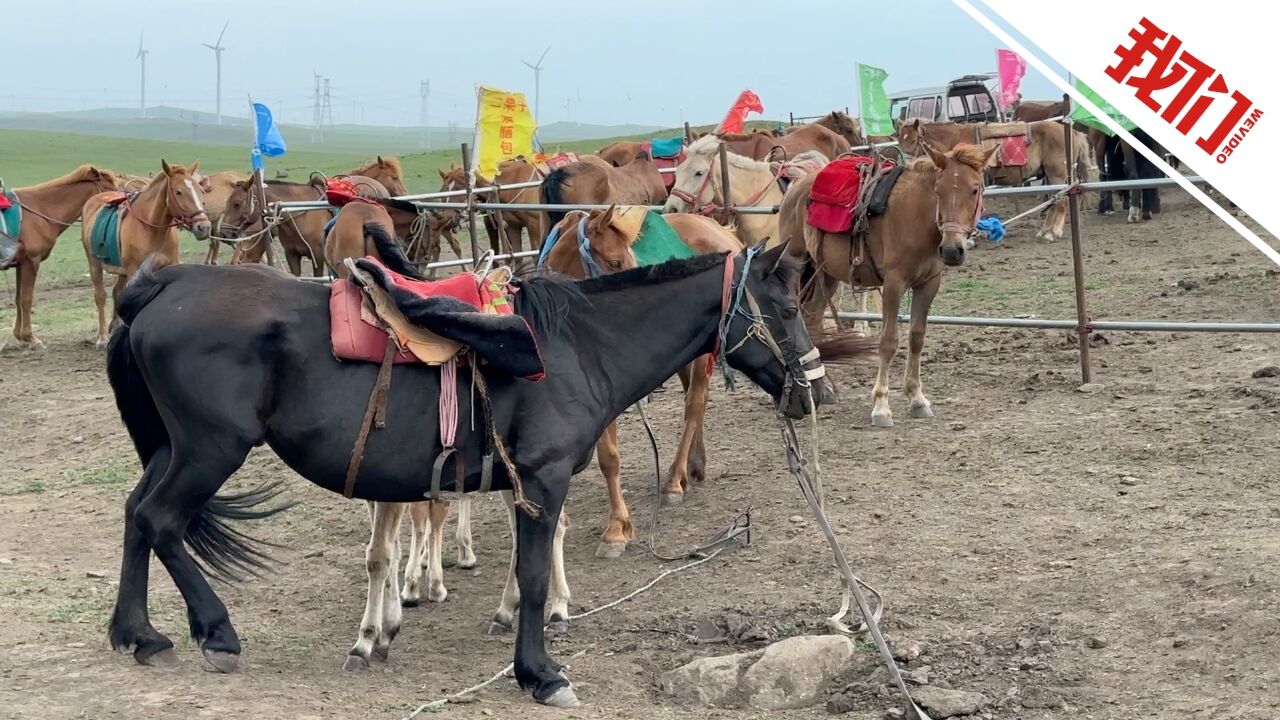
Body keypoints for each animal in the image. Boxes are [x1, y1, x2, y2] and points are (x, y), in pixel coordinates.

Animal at [2, 165, 120, 351]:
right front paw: (31, 338)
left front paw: (20, 336)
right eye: (111, 188)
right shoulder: (31, 262)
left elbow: (19, 299)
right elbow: (26, 299)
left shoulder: (21, 263)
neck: (39, 209)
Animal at [82, 157, 209, 348]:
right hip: (94, 264)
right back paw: (103, 337)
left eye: (200, 190)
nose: (204, 227)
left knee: (117, 292)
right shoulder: (134, 270)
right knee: (101, 296)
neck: (151, 229)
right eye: (178, 192)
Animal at [102, 243, 860, 702]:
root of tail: (163, 285)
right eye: (784, 308)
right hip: (209, 449)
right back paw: (215, 634)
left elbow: (525, 569)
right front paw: (541, 673)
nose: (815, 394)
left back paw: (140, 636)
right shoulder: (544, 479)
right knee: (160, 521)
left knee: (135, 517)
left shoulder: (527, 483)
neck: (577, 347)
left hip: (172, 448)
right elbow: (532, 574)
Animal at [778, 142, 998, 427]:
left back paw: (824, 390)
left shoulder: (929, 284)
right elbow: (889, 341)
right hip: (796, 268)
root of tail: (795, 190)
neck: (916, 218)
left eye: (975, 189)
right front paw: (881, 406)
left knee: (812, 319)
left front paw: (917, 398)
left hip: (824, 274)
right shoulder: (894, 283)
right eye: (939, 190)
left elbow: (917, 337)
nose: (952, 250)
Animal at [890, 118, 1090, 240]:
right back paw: (1045, 231)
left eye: (914, 141)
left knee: (1061, 202)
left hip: (1057, 175)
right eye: (900, 140)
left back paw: (1052, 233)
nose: (907, 165)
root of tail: (1074, 133)